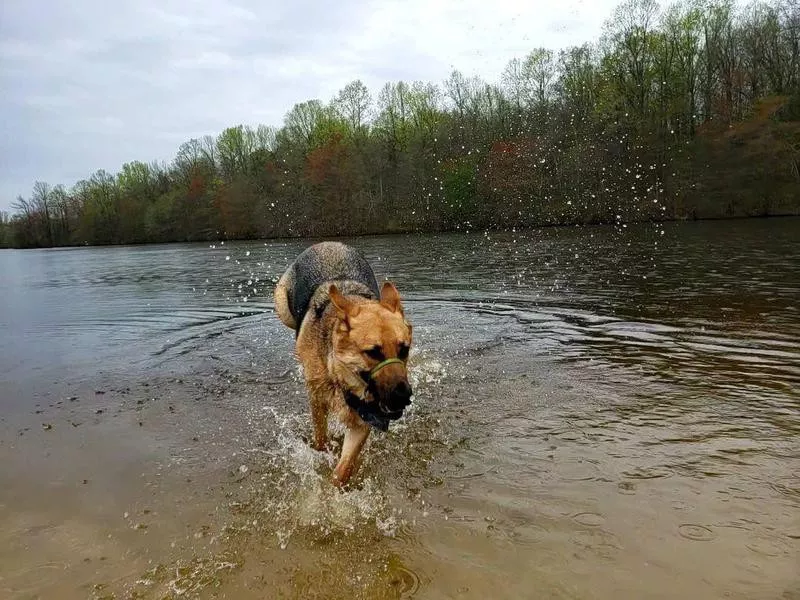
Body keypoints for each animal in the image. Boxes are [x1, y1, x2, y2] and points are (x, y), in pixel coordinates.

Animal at [274, 241, 412, 486]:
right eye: (372, 352)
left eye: (404, 349)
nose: (404, 396)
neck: (340, 374)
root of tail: (327, 243)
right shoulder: (317, 400)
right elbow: (320, 438)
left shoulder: (363, 419)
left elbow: (343, 468)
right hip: (282, 306)